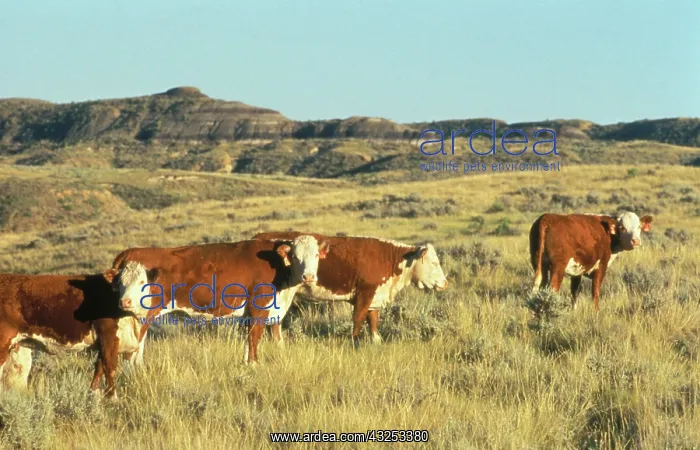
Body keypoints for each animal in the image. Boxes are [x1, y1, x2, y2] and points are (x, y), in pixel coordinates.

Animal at [0, 272, 143, 397]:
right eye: (121, 282)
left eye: (142, 281)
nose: (126, 301)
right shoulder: (108, 337)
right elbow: (110, 366)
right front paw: (112, 398)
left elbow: (99, 367)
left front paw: (94, 394)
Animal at [104, 236, 329, 364]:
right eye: (295, 256)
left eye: (317, 255)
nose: (309, 276)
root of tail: (130, 252)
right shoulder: (259, 308)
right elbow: (254, 339)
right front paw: (255, 365)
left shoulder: (249, 314)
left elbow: (247, 341)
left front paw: (245, 364)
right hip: (142, 313)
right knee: (134, 349)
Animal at [253, 232, 449, 349]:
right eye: (434, 263)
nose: (445, 283)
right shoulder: (364, 293)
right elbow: (358, 319)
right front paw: (356, 343)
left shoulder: (374, 297)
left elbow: (373, 320)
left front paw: (376, 341)